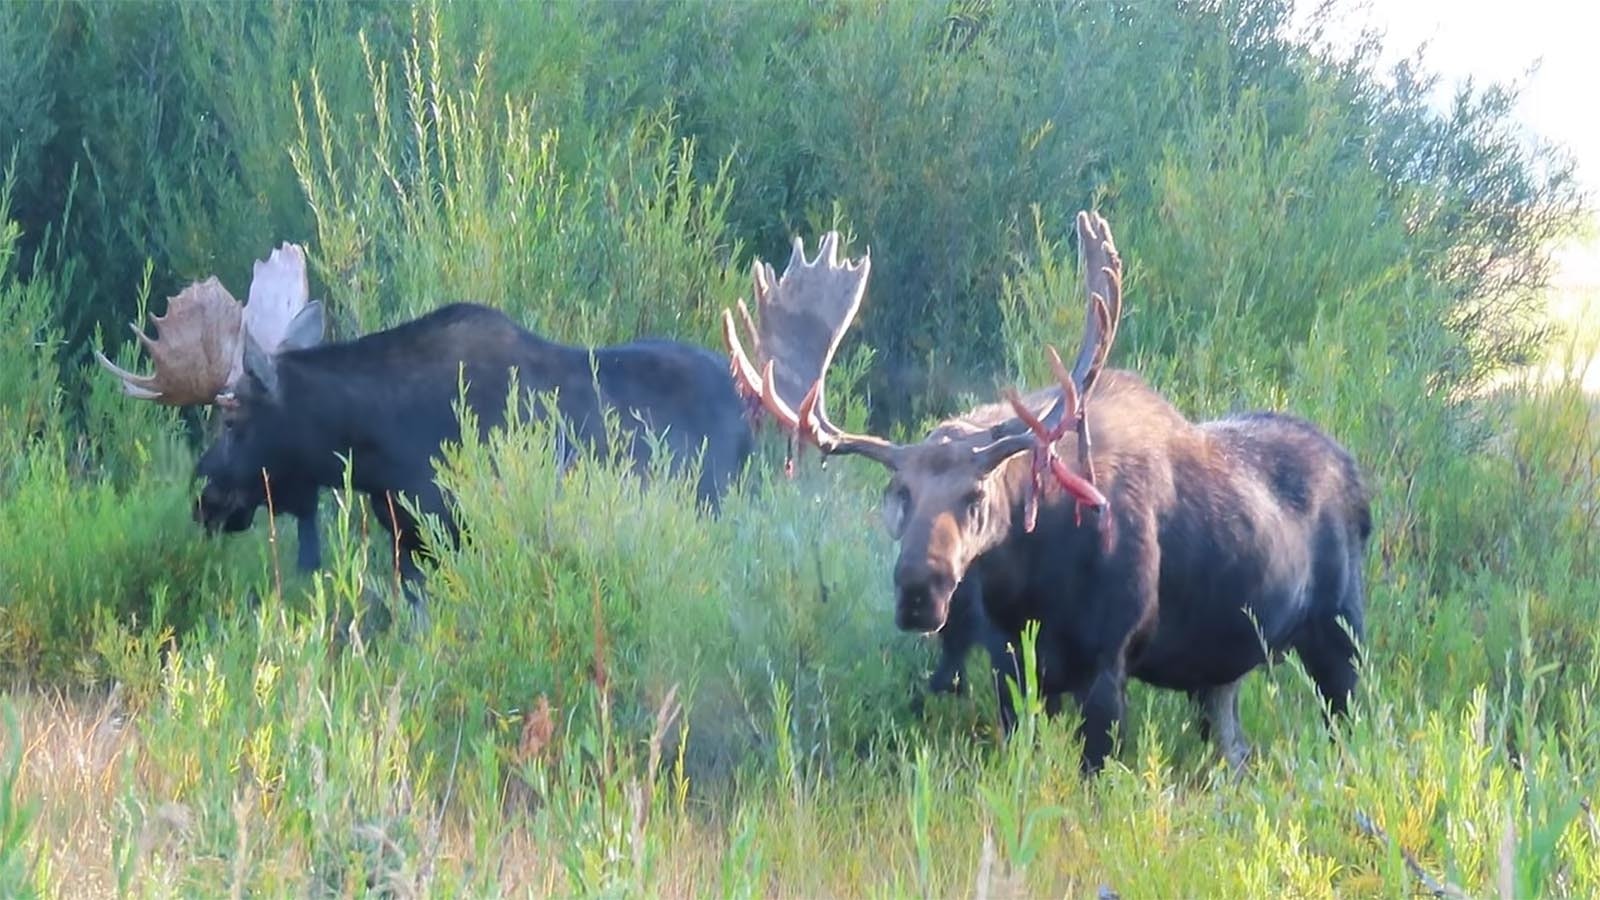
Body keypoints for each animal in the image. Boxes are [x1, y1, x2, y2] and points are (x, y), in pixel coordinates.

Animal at [732, 211, 1369, 771]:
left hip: (1340, 634)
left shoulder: (1108, 660)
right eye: (900, 494)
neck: (1031, 585)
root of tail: (1359, 478)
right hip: (1221, 672)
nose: (918, 591)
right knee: (1236, 753)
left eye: (976, 496)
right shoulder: (1013, 665)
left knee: (1347, 728)